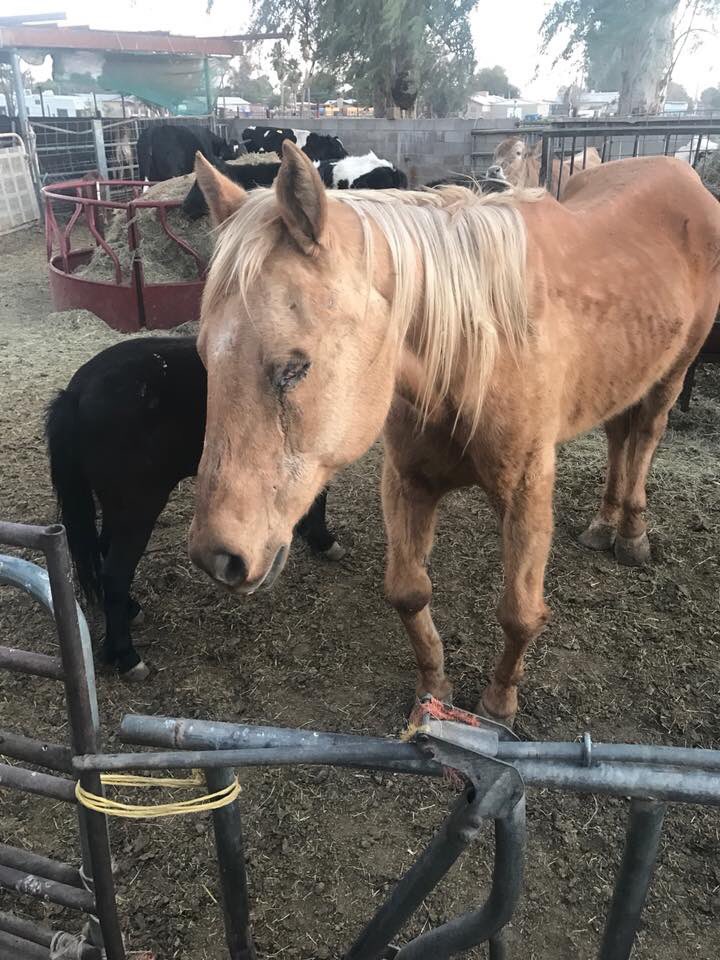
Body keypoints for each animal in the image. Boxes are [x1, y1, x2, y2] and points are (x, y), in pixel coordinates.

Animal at [46, 336, 343, 681]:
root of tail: (75, 393)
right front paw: (323, 540)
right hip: (138, 507)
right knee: (115, 573)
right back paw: (126, 656)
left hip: (119, 506)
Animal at [187, 144, 720, 723]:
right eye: (204, 356)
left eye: (294, 367)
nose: (217, 557)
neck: (473, 353)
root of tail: (682, 174)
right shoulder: (408, 483)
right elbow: (408, 593)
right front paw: (434, 687)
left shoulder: (527, 491)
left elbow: (519, 613)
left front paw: (499, 702)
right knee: (620, 436)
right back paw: (604, 523)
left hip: (672, 374)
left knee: (643, 438)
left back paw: (632, 533)